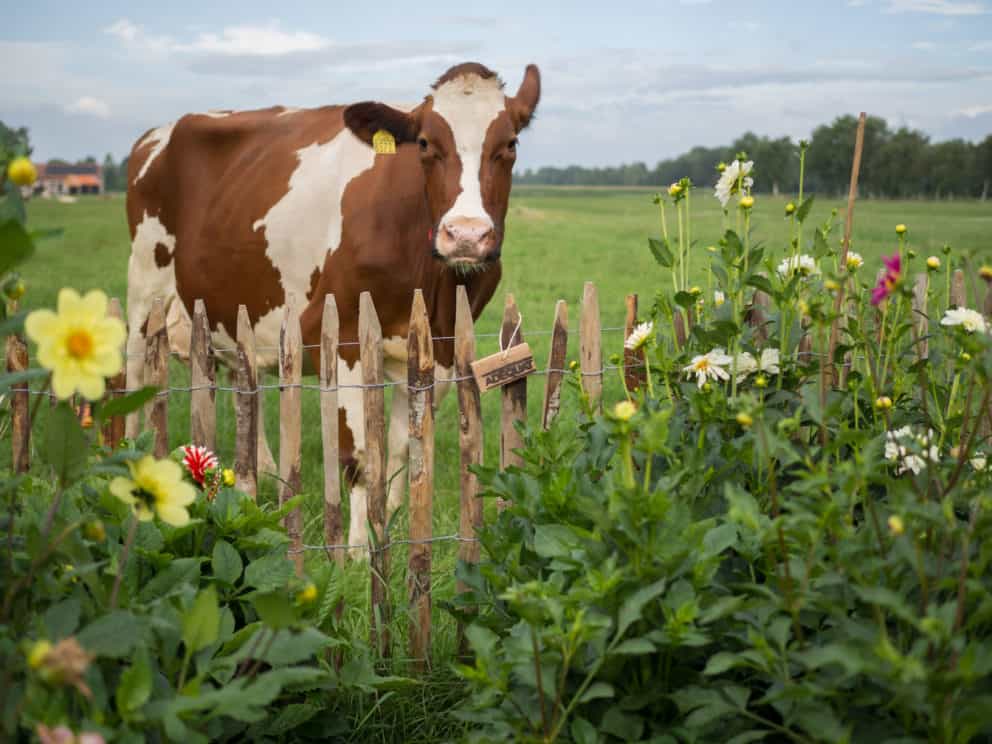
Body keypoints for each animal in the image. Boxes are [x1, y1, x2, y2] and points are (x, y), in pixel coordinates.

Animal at [124, 62, 540, 554]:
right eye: (424, 144)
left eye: (509, 144)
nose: (466, 236)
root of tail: (159, 131)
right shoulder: (344, 338)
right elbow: (358, 455)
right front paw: (359, 550)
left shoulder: (436, 347)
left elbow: (402, 448)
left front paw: (392, 526)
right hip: (144, 282)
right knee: (134, 372)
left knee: (240, 381)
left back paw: (264, 476)